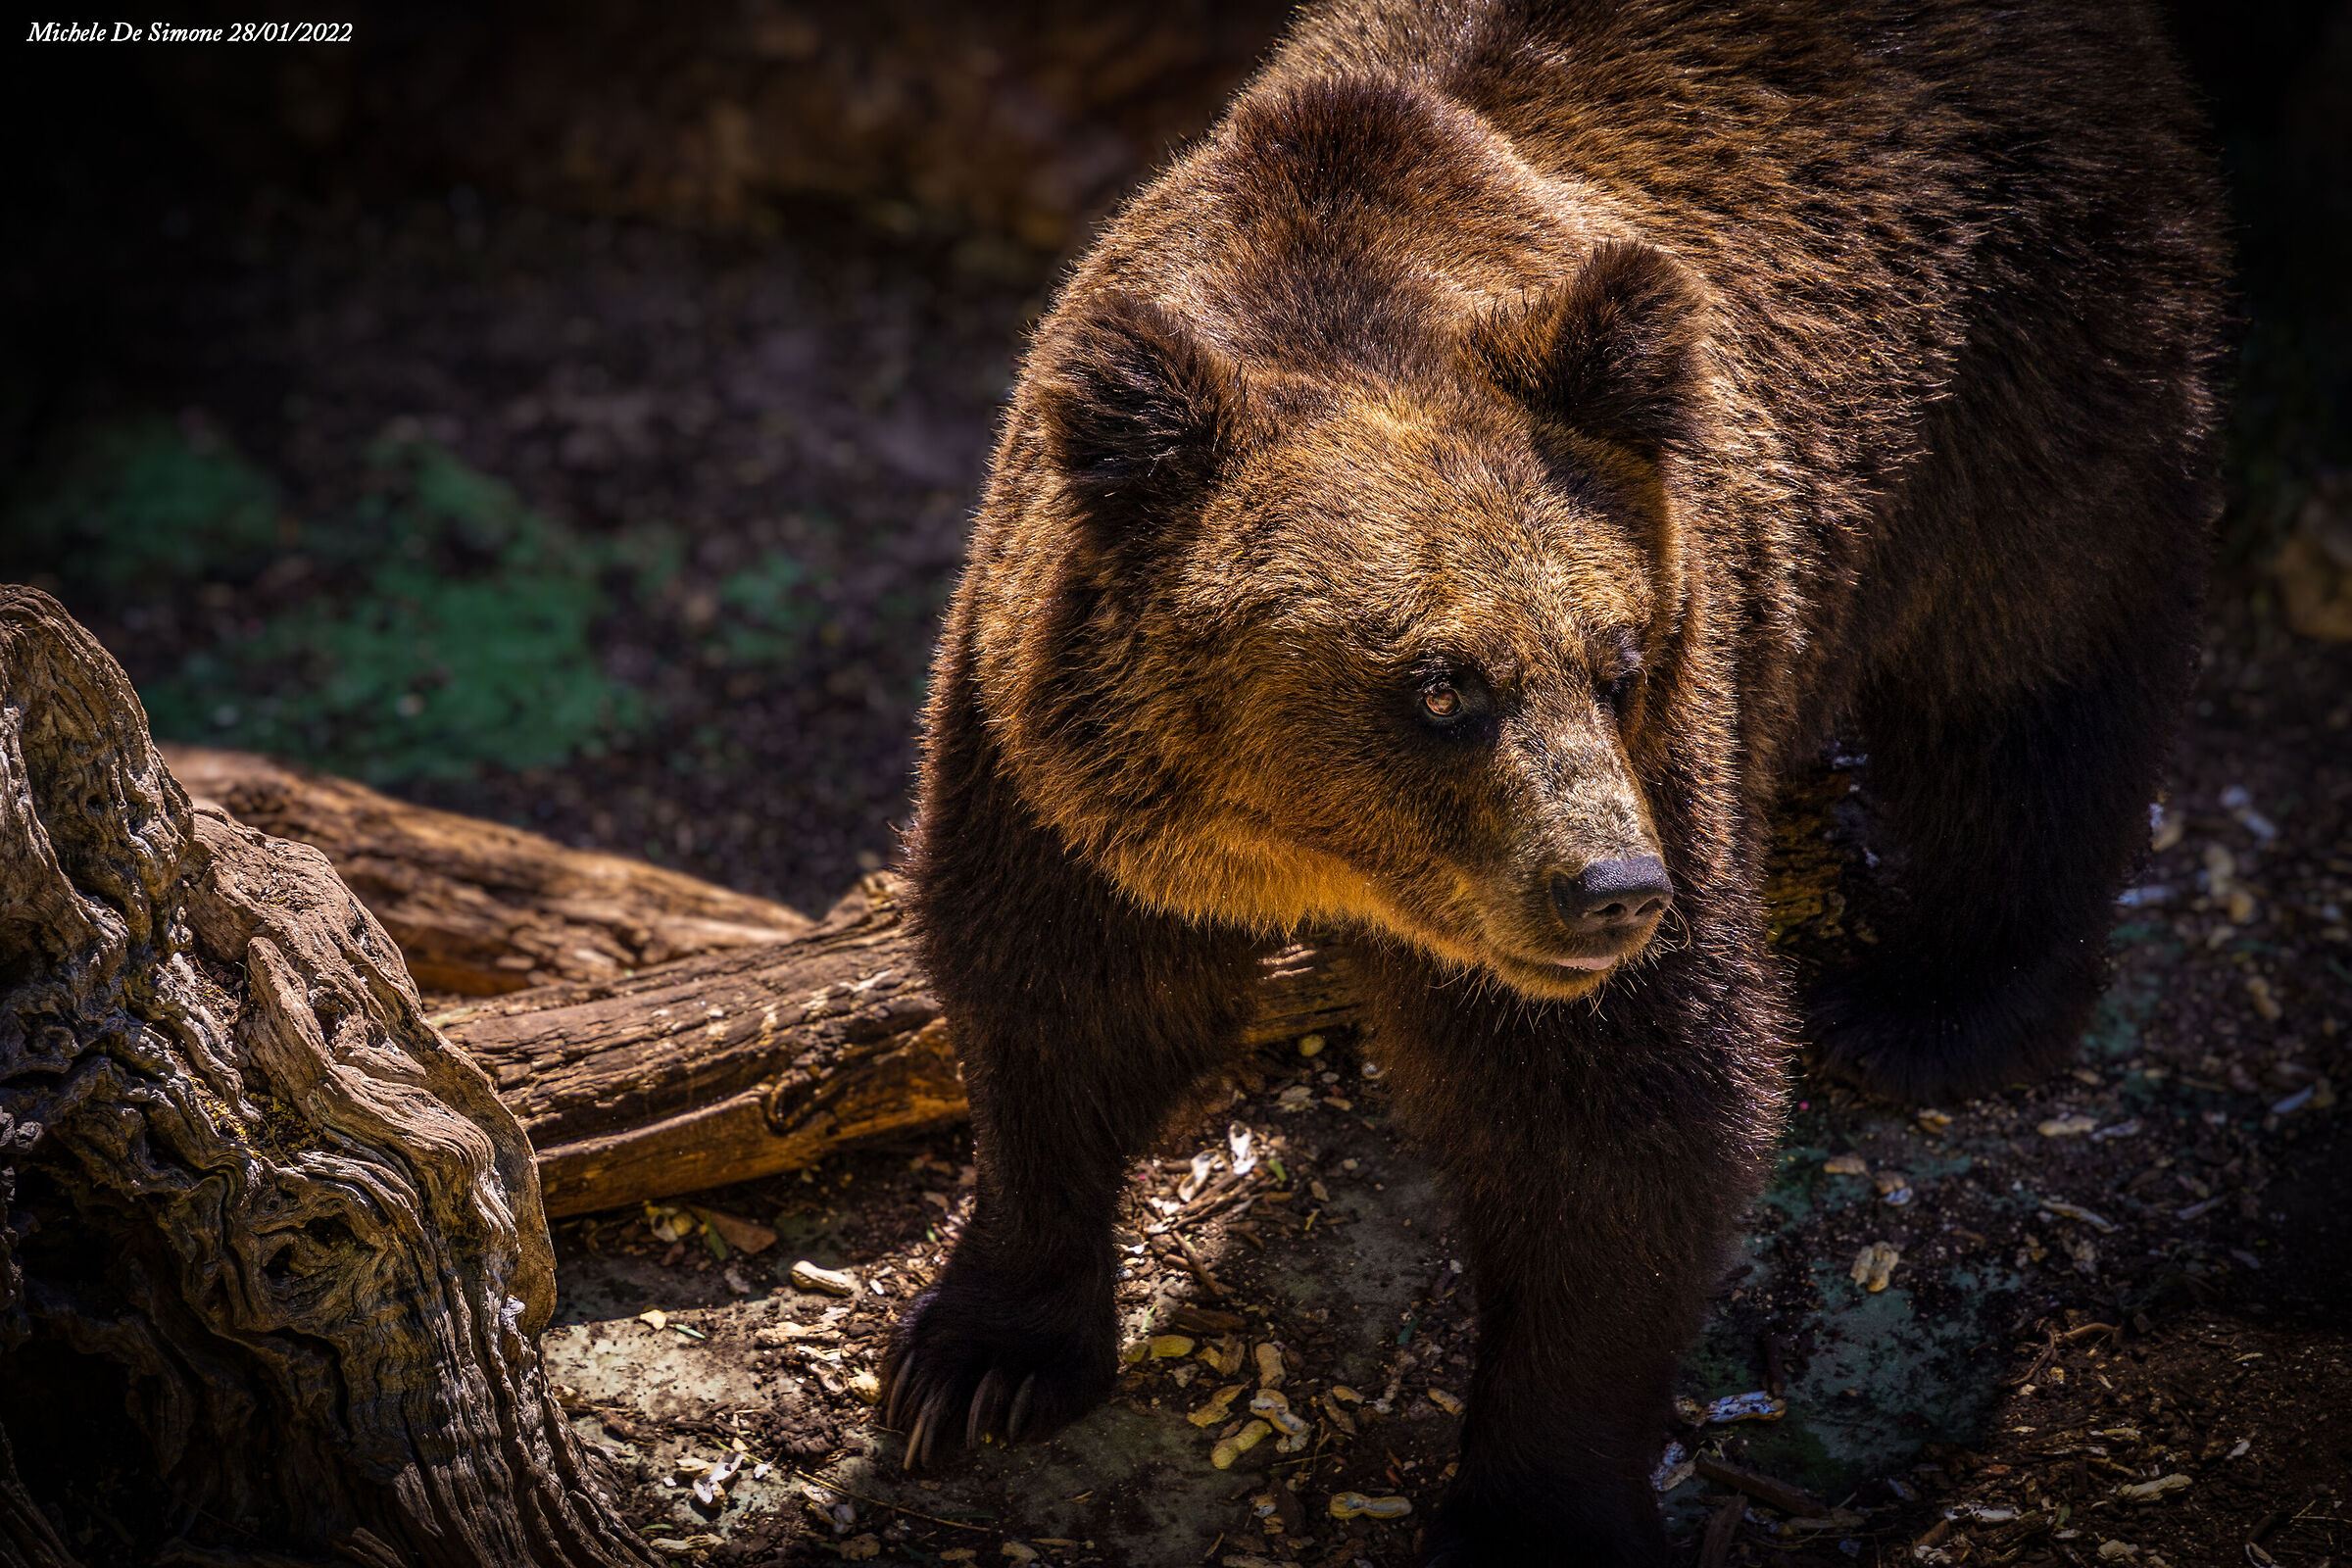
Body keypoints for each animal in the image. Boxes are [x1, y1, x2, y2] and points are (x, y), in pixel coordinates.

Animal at [881, 2, 2226, 1561]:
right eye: (1440, 685)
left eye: (1618, 657)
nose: (1613, 891)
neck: (1308, 853)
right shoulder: (1059, 770)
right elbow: (1055, 996)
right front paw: (981, 1361)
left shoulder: (1675, 743)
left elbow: (1621, 1121)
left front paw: (1535, 1504)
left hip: (2031, 344)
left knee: (2032, 667)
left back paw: (1928, 1003)